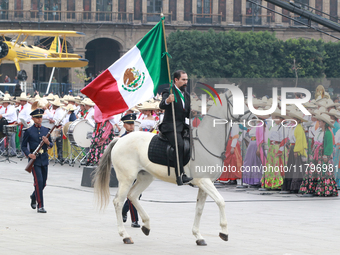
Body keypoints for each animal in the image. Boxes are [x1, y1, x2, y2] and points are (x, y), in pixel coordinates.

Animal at [93, 90, 252, 245]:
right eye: (237, 101)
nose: (253, 117)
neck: (208, 141)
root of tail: (119, 139)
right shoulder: (204, 182)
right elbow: (221, 201)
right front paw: (224, 232)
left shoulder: (205, 184)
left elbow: (199, 209)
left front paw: (198, 236)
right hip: (126, 178)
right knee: (119, 202)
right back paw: (125, 235)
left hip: (145, 177)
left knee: (132, 195)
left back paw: (146, 225)